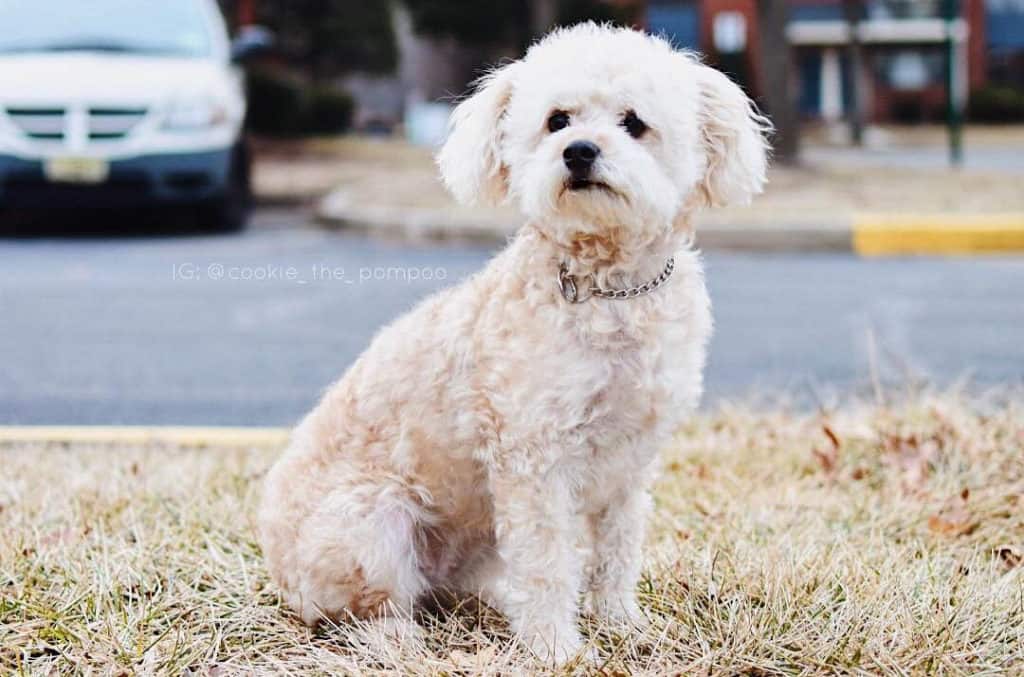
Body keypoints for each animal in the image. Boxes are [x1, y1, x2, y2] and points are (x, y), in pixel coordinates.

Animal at [258, 22, 770, 663]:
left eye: (633, 122)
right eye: (557, 120)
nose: (579, 151)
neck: (609, 288)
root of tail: (280, 570)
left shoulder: (630, 465)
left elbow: (617, 551)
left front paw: (622, 625)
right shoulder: (534, 460)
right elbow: (549, 563)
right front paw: (559, 650)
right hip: (370, 524)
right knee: (363, 610)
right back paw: (399, 638)